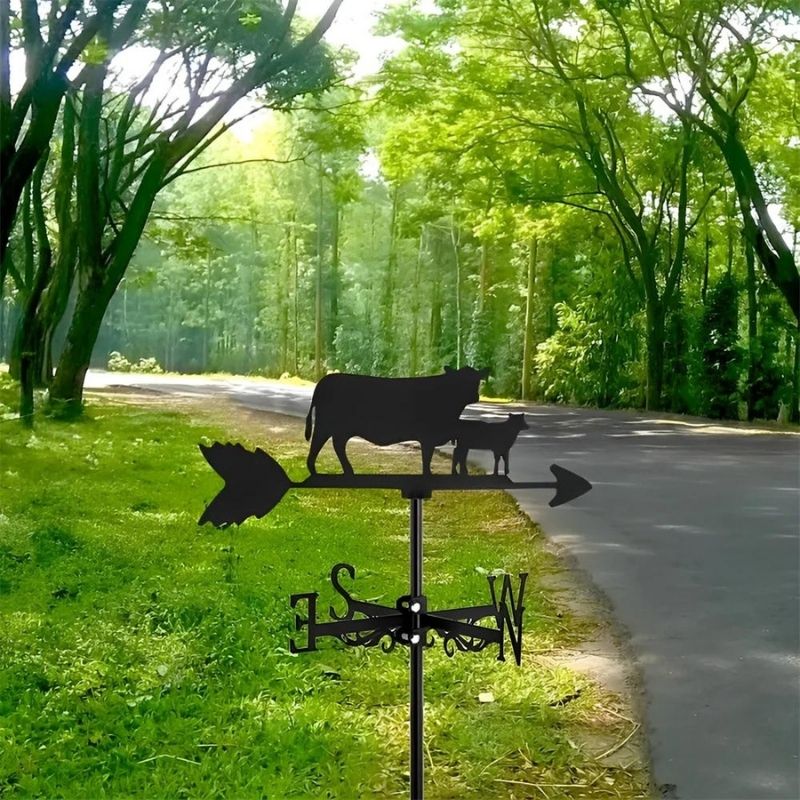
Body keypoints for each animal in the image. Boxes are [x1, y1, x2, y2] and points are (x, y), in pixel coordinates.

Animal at [304, 366, 489, 475]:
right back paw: (315, 470)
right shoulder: (428, 437)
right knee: (319, 442)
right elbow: (426, 459)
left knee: (338, 445)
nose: (475, 396)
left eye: (477, 380)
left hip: (341, 429)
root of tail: (324, 381)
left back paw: (347, 471)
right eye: (461, 381)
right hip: (326, 424)